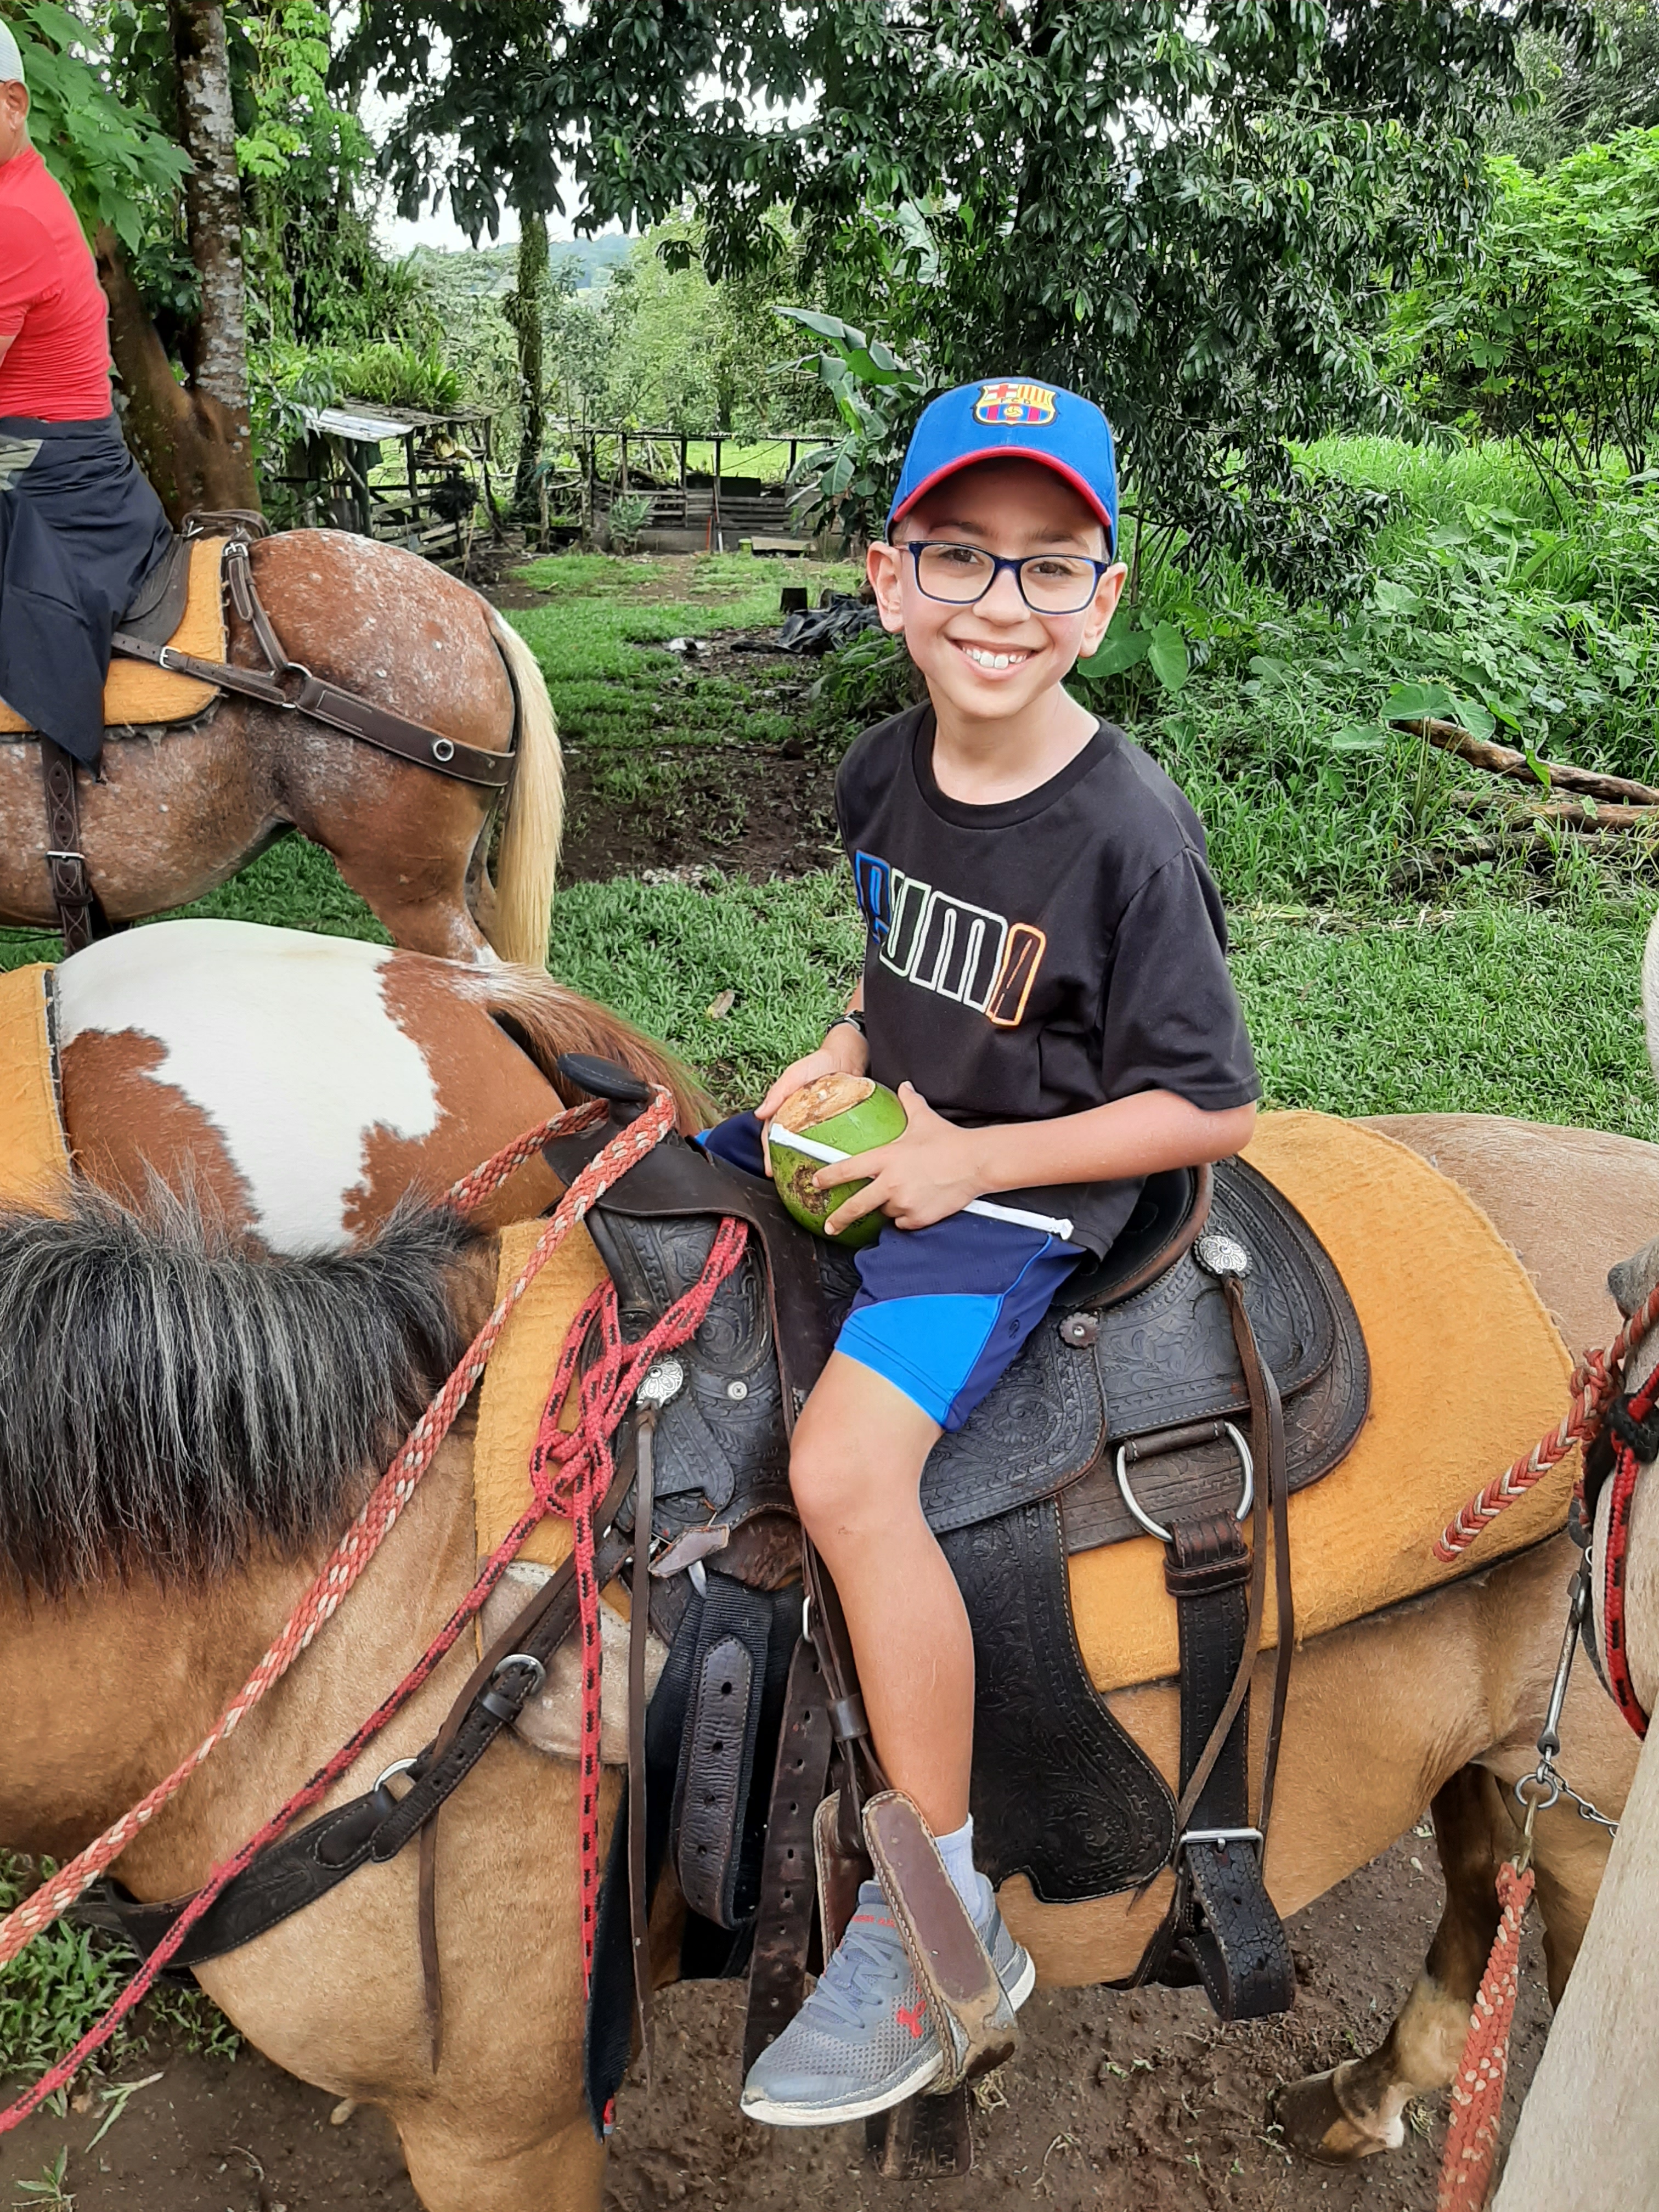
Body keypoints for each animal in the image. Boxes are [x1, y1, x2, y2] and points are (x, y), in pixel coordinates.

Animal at [2, 918, 1653, 2208]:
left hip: (1597, 1827)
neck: (345, 1619)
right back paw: (1363, 2098)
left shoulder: (500, 2134)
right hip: (1500, 1755)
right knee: (1475, 1881)